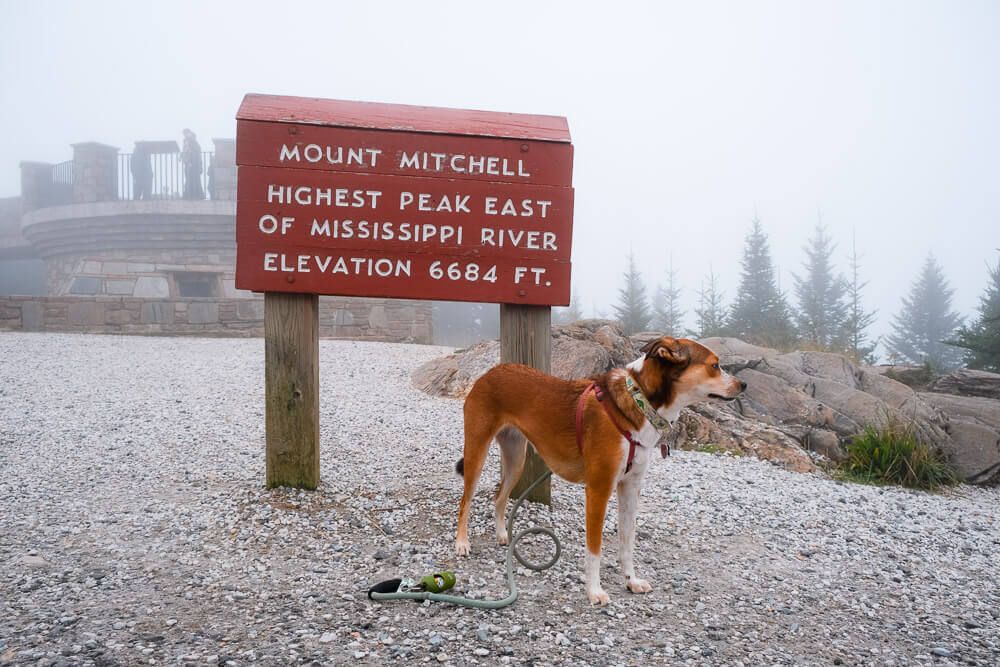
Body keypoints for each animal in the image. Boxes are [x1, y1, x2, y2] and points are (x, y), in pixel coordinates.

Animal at [458, 340, 748, 604]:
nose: (743, 385)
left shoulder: (630, 489)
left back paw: (501, 535)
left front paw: (631, 581)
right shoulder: (599, 490)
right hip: (477, 454)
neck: (638, 404)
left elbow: (627, 544)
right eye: (715, 365)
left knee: (499, 497)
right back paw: (461, 543)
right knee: (465, 501)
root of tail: (492, 371)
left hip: (516, 459)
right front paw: (594, 591)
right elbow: (594, 549)